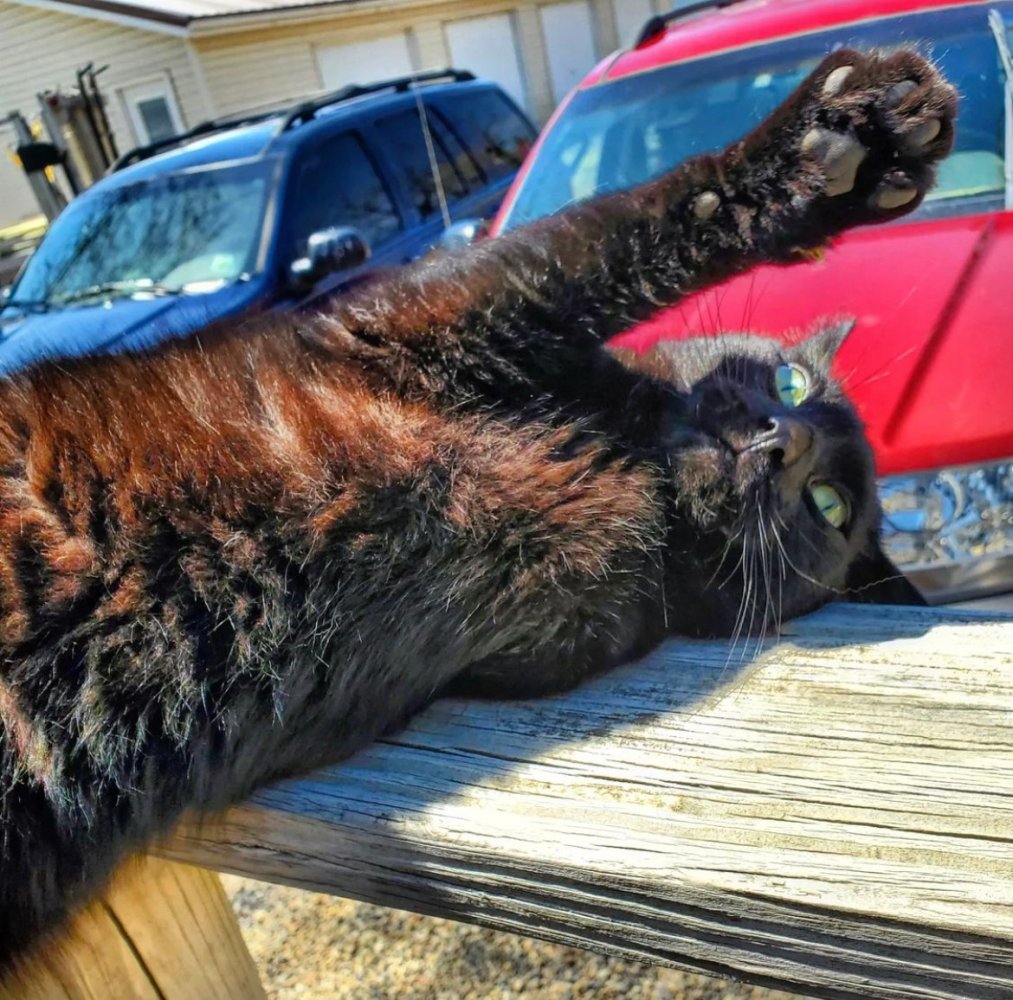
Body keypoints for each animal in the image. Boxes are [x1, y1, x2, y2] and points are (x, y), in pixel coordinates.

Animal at [0, 48, 954, 969]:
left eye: (826, 505)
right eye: (789, 383)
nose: (778, 442)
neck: (624, 454)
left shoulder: (571, 625)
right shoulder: (430, 313)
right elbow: (617, 232)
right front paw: (836, 145)